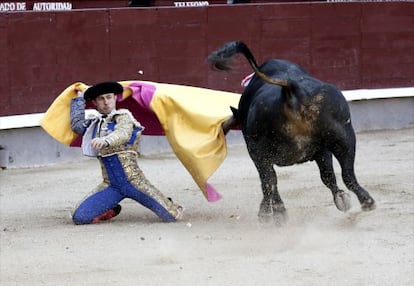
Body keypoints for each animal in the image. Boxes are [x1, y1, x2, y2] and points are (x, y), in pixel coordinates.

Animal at [207, 41, 376, 222]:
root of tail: (290, 88)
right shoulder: (322, 150)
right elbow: (328, 175)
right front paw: (341, 198)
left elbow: (270, 180)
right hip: (344, 135)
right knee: (347, 173)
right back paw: (366, 201)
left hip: (258, 151)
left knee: (268, 180)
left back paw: (269, 212)